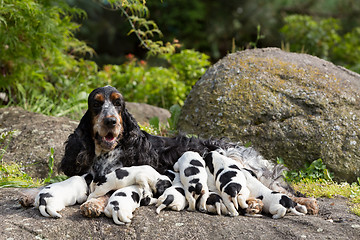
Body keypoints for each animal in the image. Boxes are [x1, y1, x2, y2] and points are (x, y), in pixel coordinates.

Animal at [20, 85, 312, 217]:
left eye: (118, 104)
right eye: (96, 104)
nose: (110, 121)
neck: (107, 152)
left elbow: (106, 192)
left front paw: (93, 204)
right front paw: (29, 195)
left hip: (242, 162)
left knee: (282, 188)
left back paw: (305, 202)